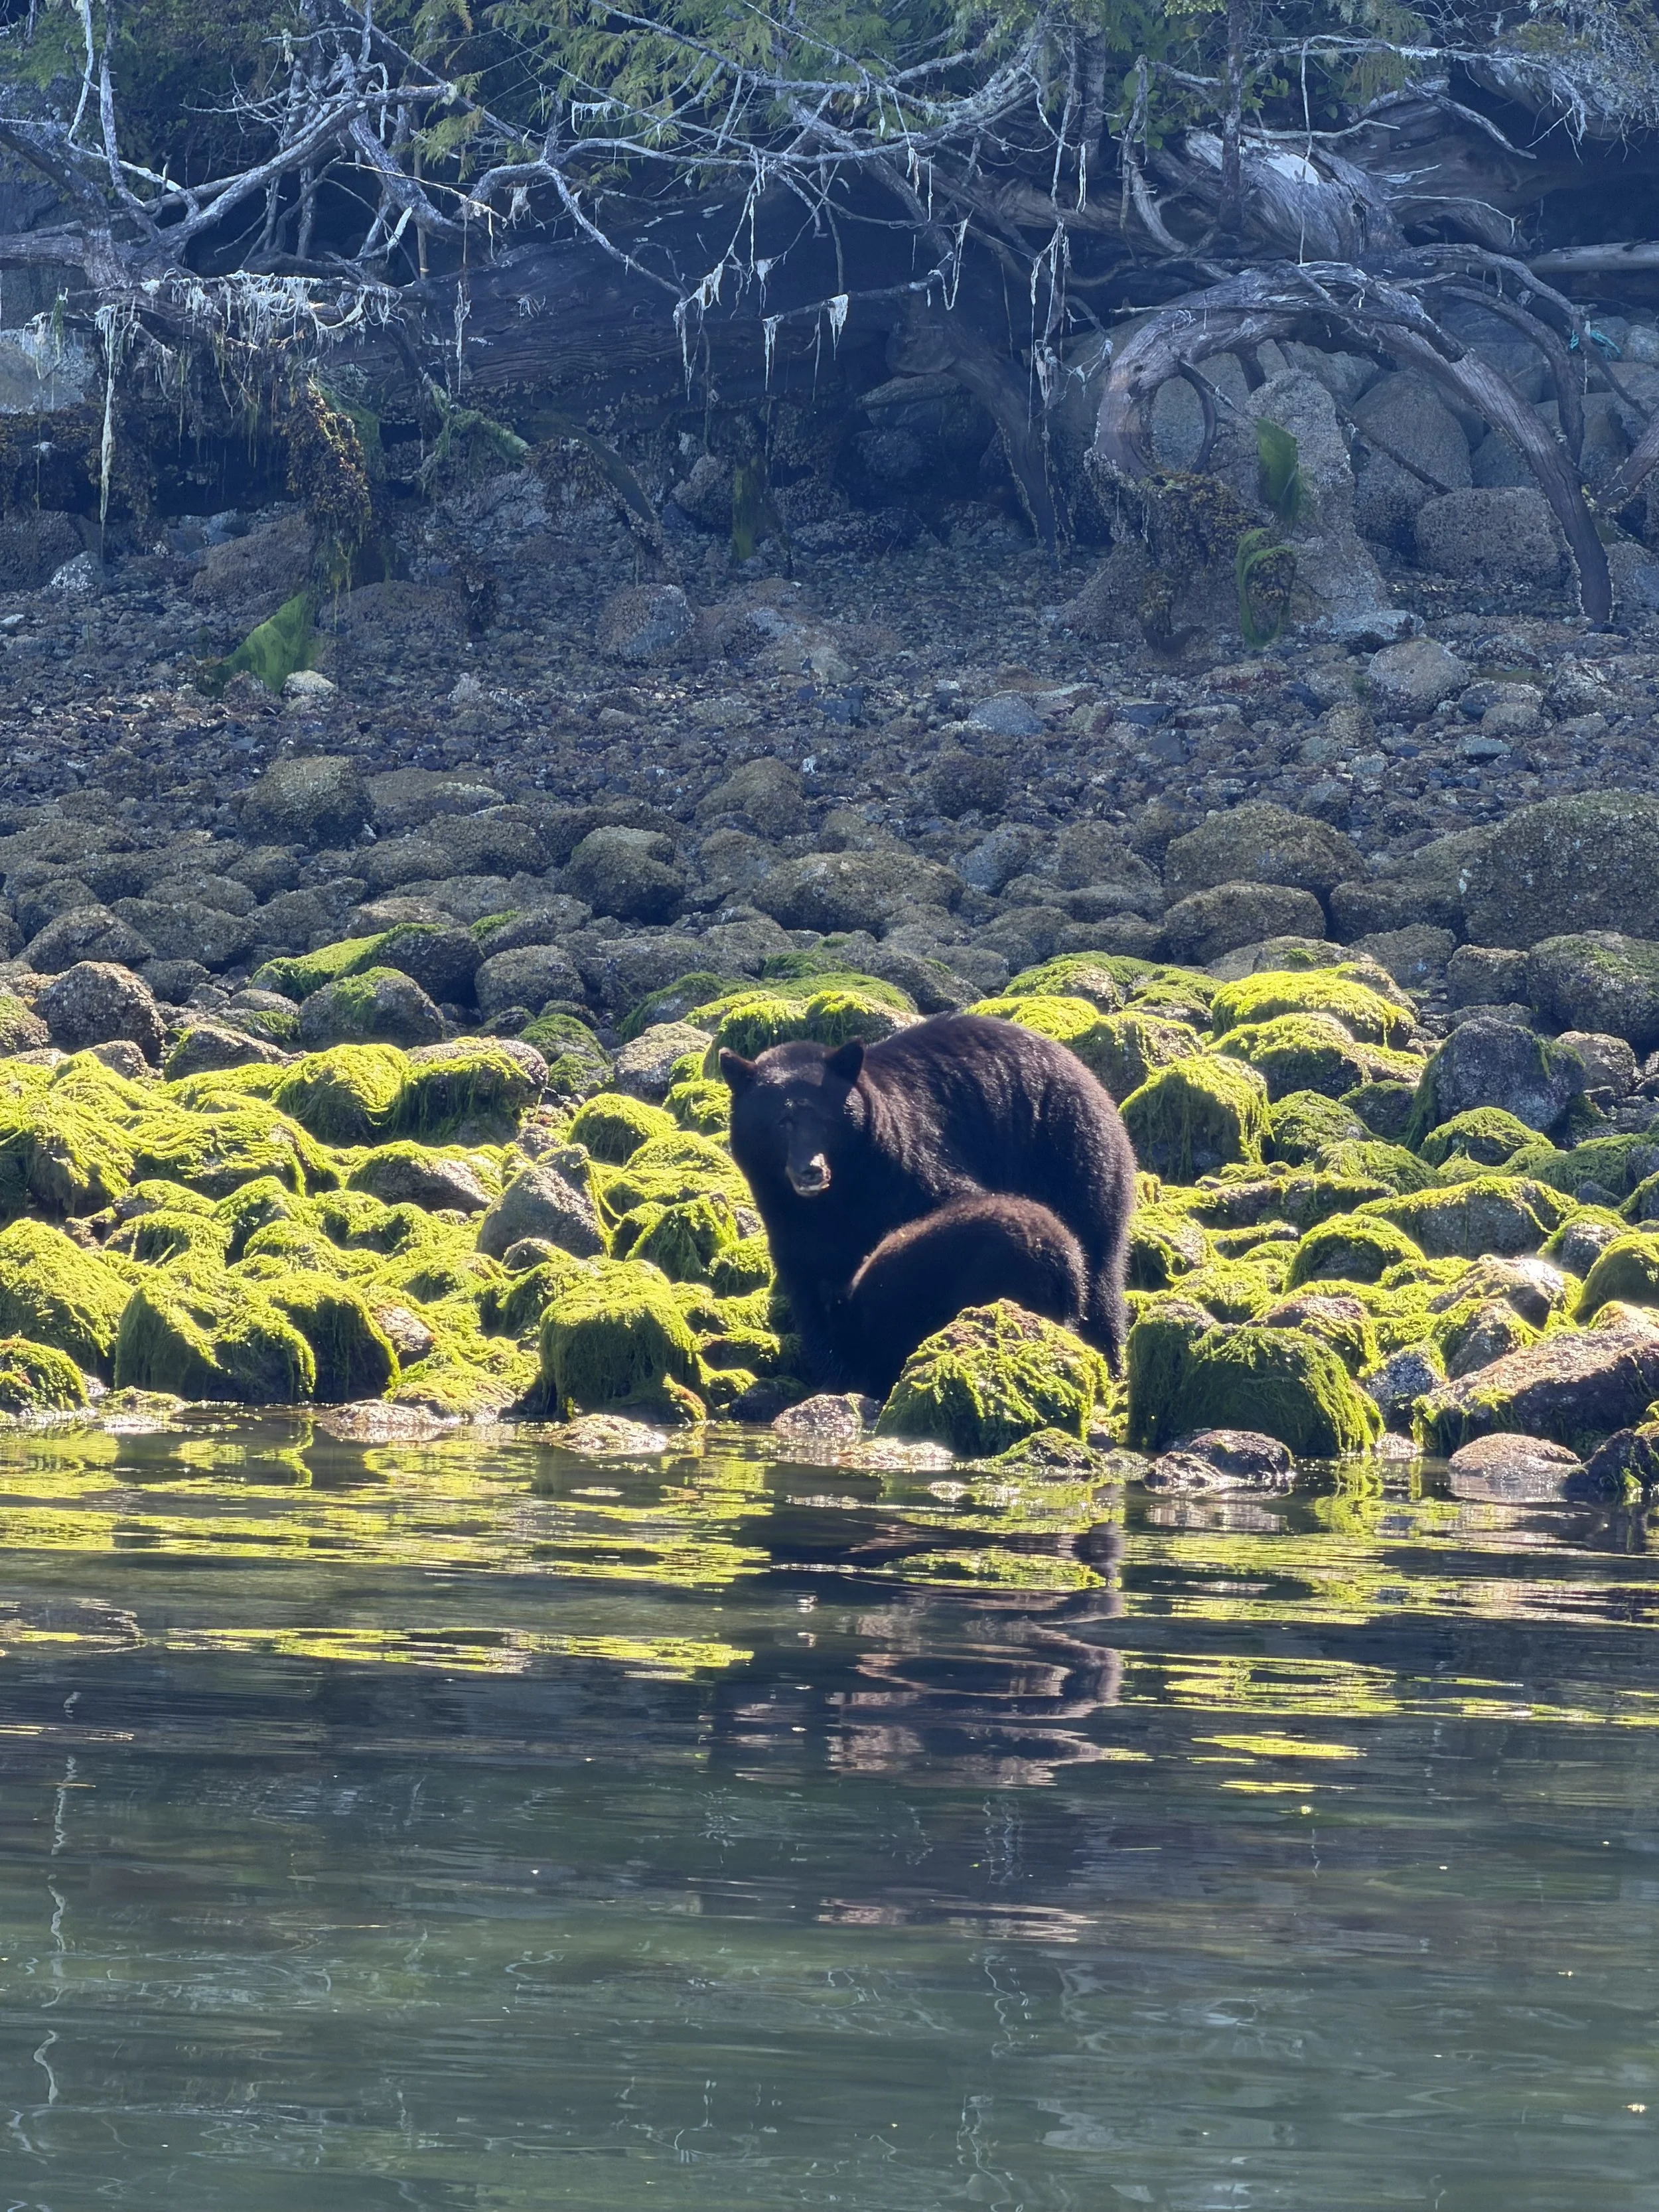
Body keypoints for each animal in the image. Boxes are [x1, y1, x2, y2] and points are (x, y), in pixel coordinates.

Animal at [720, 1012, 1136, 1394]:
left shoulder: (909, 1169)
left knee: (1099, 1272)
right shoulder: (787, 1221)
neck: (838, 1198)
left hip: (1070, 1152)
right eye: (782, 1121)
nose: (811, 1170)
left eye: (826, 1120)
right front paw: (836, 1378)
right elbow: (810, 1293)